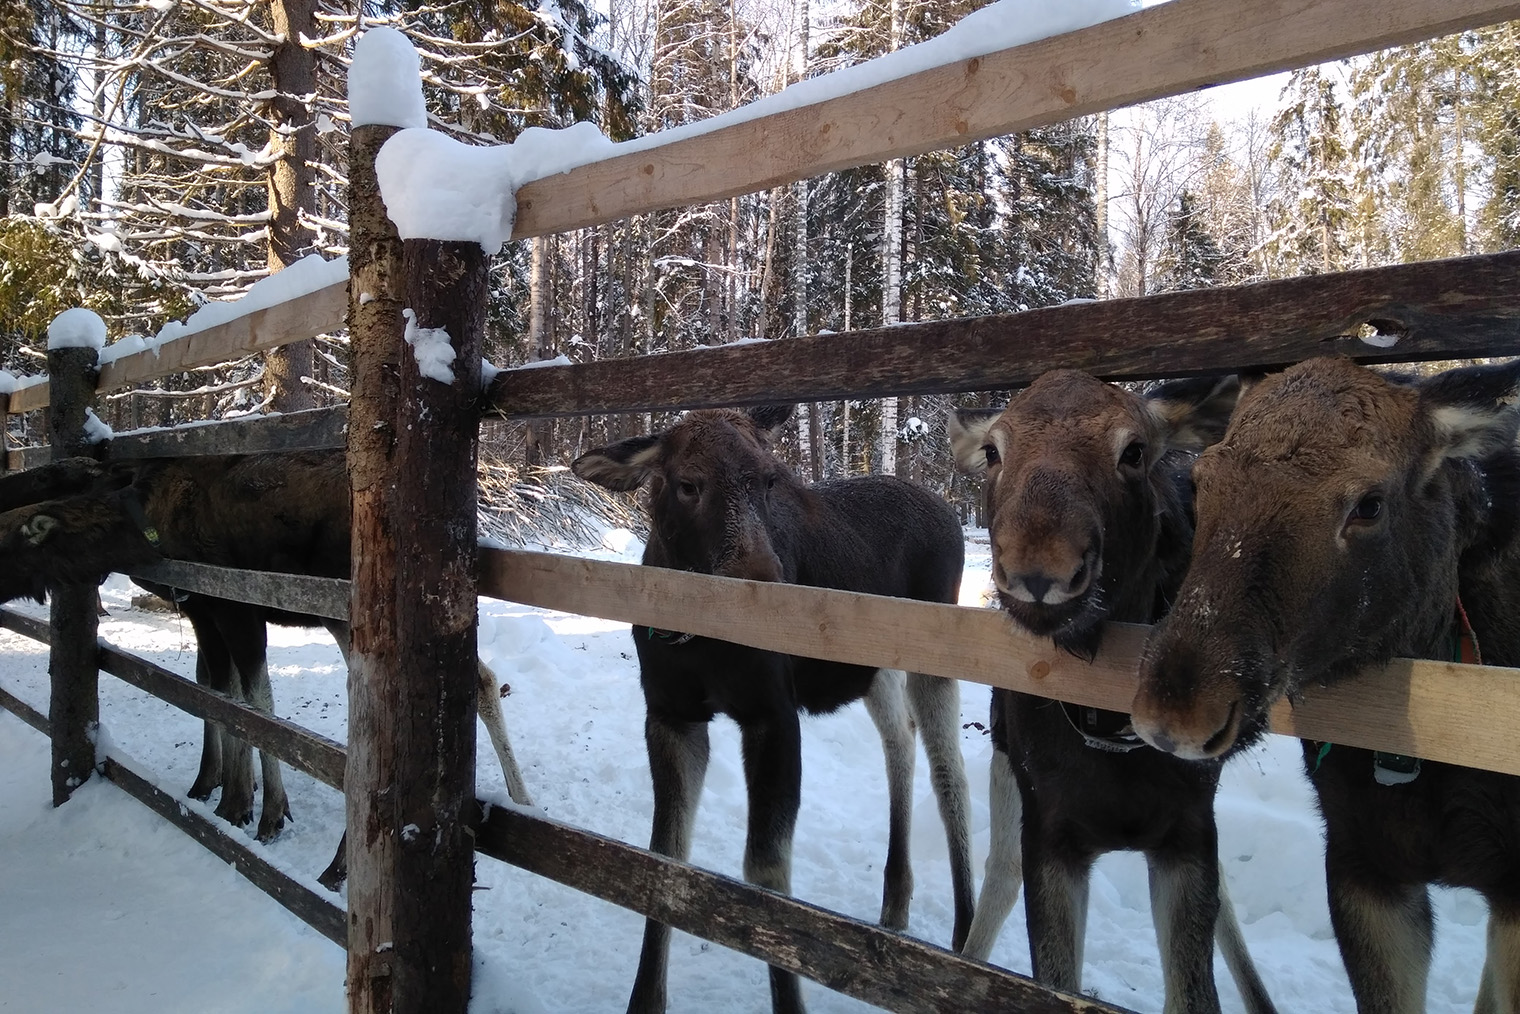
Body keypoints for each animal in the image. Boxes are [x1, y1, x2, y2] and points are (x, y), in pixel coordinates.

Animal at [0, 453, 535, 875]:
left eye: (7, 543)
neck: (144, 524)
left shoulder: (232, 609)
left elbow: (252, 704)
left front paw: (254, 808)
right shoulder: (206, 609)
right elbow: (218, 691)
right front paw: (221, 789)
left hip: (345, 612)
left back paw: (342, 862)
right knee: (480, 677)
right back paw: (521, 797)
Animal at [571, 404, 972, 1014]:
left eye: (768, 479)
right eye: (688, 483)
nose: (766, 582)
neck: (696, 636)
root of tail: (950, 510)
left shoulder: (773, 713)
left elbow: (764, 872)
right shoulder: (670, 714)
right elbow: (665, 853)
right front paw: (645, 999)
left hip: (936, 653)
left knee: (950, 772)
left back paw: (967, 940)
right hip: (873, 668)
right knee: (899, 742)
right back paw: (895, 904)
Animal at [948, 370, 1282, 1014]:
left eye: (1134, 452)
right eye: (994, 451)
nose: (1039, 570)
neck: (1106, 726)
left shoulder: (1188, 831)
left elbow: (1194, 992)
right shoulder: (1049, 831)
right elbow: (1052, 982)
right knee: (998, 874)